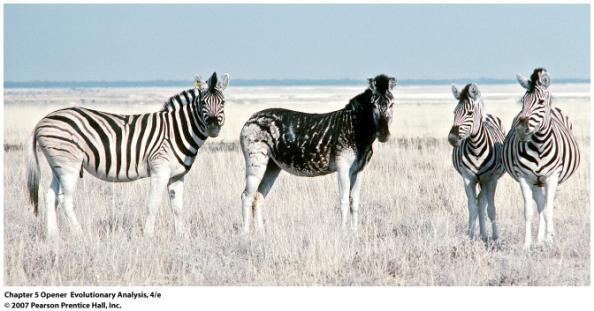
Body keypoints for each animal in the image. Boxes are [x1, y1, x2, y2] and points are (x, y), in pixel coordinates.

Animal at [26, 72, 229, 240]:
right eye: (203, 103)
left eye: (223, 102)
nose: (213, 126)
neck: (177, 130)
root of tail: (41, 120)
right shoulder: (160, 170)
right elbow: (153, 205)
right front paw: (147, 236)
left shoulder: (177, 175)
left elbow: (178, 207)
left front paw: (182, 237)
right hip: (69, 165)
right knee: (65, 200)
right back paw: (80, 235)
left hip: (57, 166)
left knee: (50, 197)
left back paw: (53, 237)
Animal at [238, 74, 396, 233]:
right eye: (373, 105)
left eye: (392, 105)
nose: (383, 135)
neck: (356, 129)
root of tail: (250, 119)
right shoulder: (343, 167)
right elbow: (344, 200)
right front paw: (343, 232)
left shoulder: (359, 170)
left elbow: (354, 202)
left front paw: (354, 232)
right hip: (256, 161)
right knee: (246, 196)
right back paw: (246, 234)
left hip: (272, 166)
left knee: (258, 197)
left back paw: (260, 233)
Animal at [446, 83, 502, 244]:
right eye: (454, 112)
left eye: (469, 113)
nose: (452, 138)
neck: (476, 148)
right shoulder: (468, 178)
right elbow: (472, 208)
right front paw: (470, 236)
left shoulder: (491, 179)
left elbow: (491, 209)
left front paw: (496, 238)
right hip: (479, 180)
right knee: (479, 204)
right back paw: (482, 234)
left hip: (485, 181)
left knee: (482, 203)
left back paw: (485, 234)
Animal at [500, 68, 580, 249]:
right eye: (523, 101)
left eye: (541, 102)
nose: (521, 129)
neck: (539, 145)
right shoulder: (524, 177)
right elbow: (529, 211)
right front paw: (527, 243)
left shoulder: (552, 177)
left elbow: (549, 210)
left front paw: (550, 241)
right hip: (536, 182)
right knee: (541, 204)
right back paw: (539, 239)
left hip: (550, 180)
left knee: (547, 206)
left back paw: (545, 238)